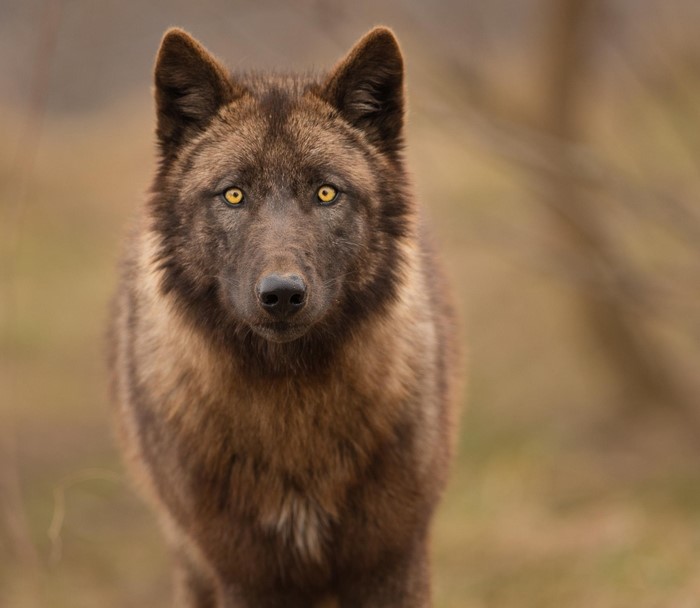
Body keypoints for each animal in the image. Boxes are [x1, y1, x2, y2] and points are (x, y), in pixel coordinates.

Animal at [108, 25, 459, 608]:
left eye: (326, 192)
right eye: (233, 194)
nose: (281, 295)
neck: (293, 416)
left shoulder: (392, 563)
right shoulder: (247, 577)